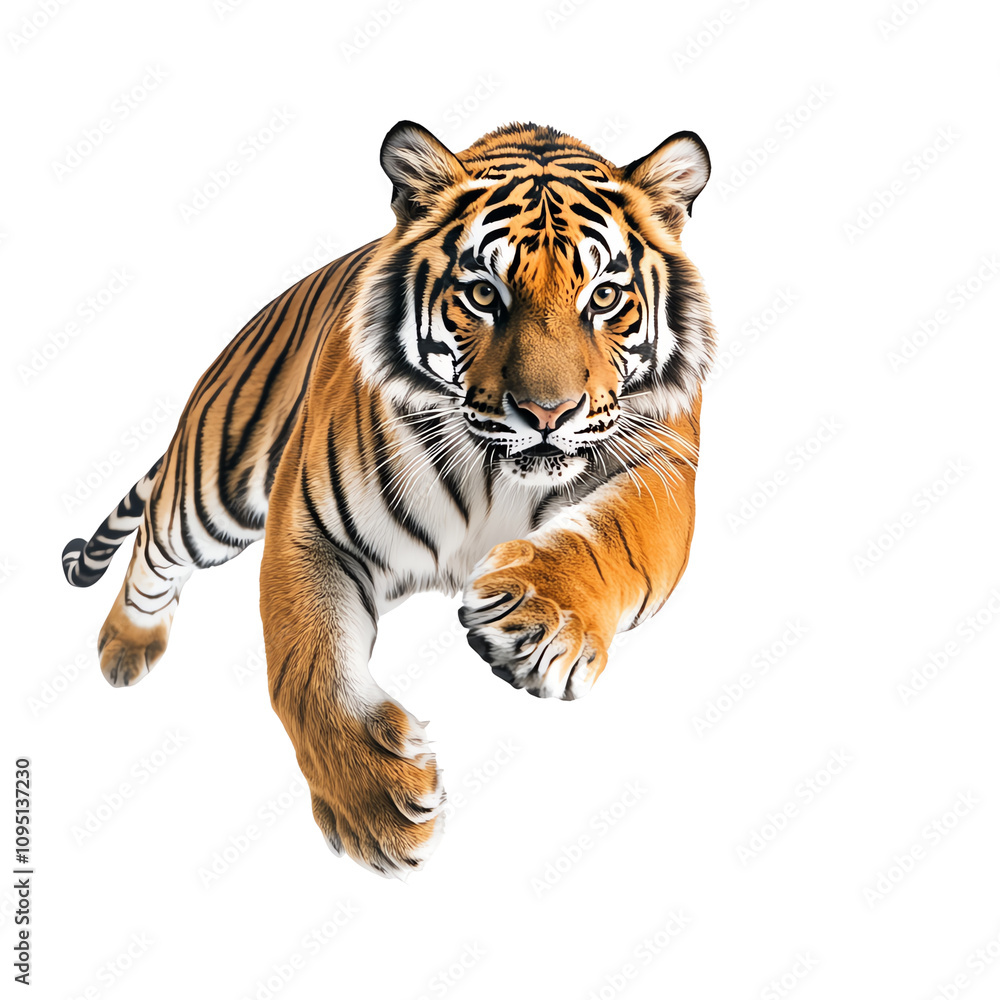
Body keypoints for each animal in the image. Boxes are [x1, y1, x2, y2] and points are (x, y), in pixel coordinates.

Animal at [61, 120, 715, 877]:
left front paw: (541, 620)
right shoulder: (310, 527)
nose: (547, 414)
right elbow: (306, 664)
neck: (498, 472)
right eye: (483, 294)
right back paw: (126, 645)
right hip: (213, 490)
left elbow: (618, 534)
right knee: (153, 539)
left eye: (605, 298)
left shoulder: (665, 466)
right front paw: (374, 803)